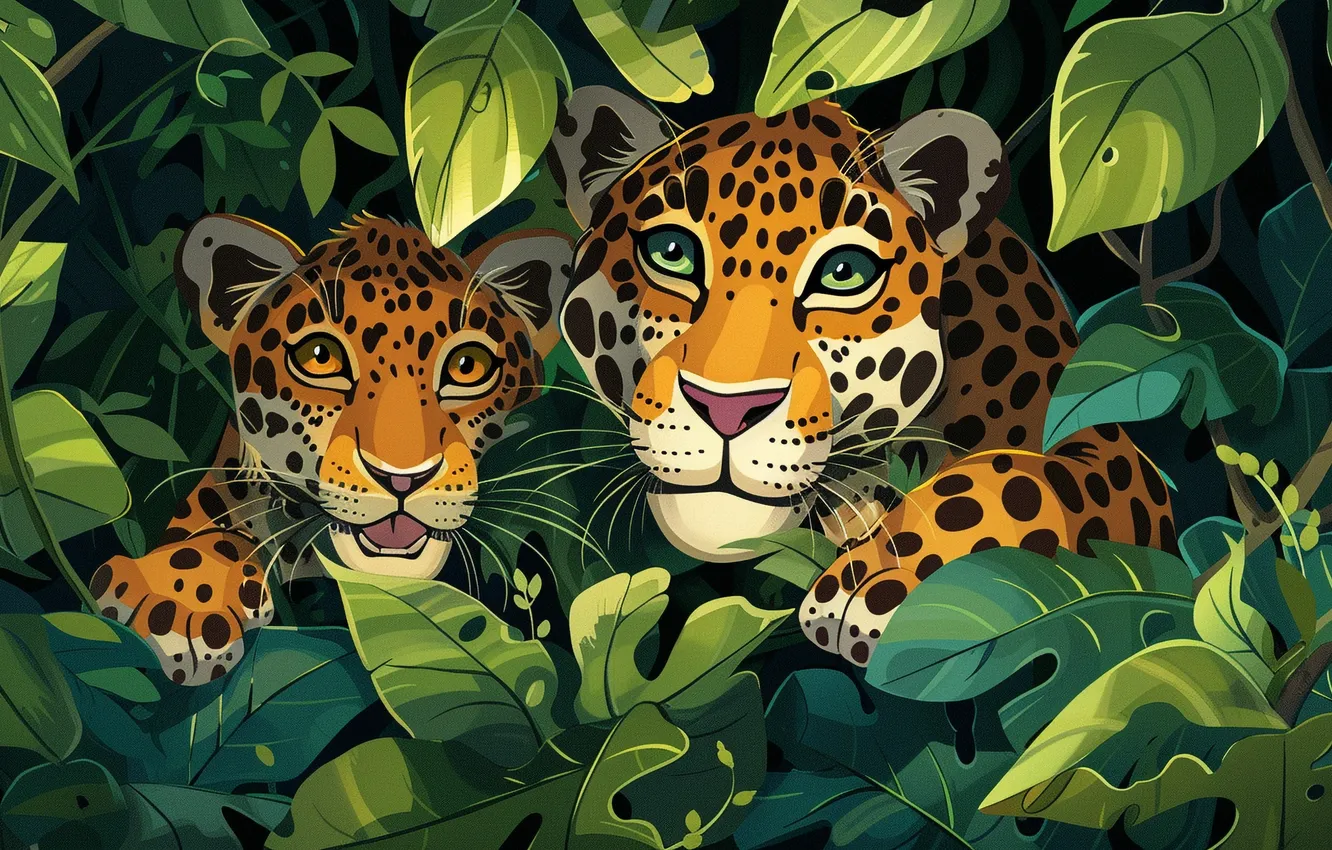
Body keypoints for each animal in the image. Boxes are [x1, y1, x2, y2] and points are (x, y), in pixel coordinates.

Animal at [546, 86, 1176, 668]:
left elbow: (1018, 478)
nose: (726, 409)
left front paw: (871, 590)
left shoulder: (1108, 451)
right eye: (671, 252)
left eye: (844, 273)